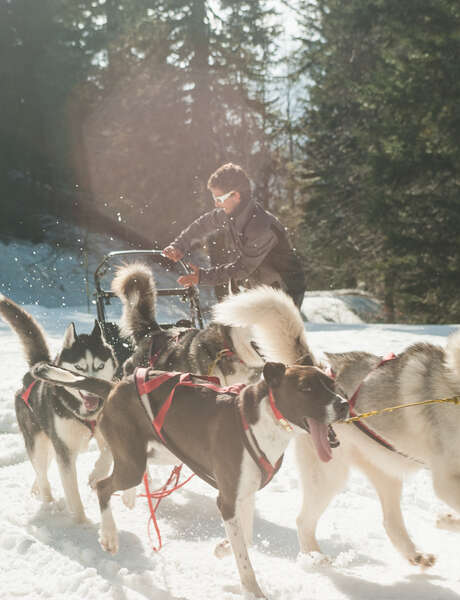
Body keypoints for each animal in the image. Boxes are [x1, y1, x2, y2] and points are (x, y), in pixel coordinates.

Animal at [0, 298, 117, 524]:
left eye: (100, 366)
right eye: (79, 368)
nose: (92, 390)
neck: (84, 412)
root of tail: (36, 367)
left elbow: (107, 453)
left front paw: (96, 474)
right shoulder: (65, 451)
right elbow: (72, 491)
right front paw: (81, 524)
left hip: (51, 443)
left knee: (41, 471)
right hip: (38, 442)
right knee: (42, 473)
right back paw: (48, 503)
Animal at [33, 354, 348, 596]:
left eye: (332, 384)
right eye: (306, 387)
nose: (344, 404)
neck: (264, 420)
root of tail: (114, 385)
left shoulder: (243, 494)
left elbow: (245, 538)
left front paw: (223, 548)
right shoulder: (227, 499)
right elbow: (244, 558)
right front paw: (253, 590)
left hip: (157, 451)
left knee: (116, 470)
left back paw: (125, 493)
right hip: (134, 463)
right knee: (103, 486)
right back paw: (109, 534)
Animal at [215, 286, 460, 568]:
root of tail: (315, 368)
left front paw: (447, 521)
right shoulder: (445, 479)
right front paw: (447, 520)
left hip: (386, 469)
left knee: (390, 522)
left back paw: (415, 554)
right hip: (329, 477)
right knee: (303, 520)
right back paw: (314, 559)